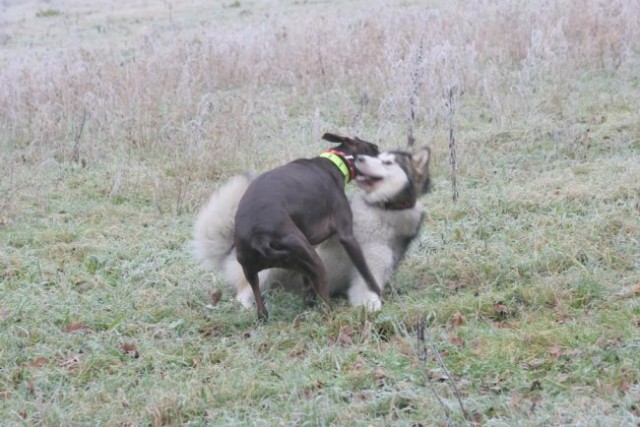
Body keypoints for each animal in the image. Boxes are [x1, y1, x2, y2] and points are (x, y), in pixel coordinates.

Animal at [192, 147, 432, 310]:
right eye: (377, 157)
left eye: (388, 162)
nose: (360, 158)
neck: (382, 208)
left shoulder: (368, 271)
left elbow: (369, 291)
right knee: (244, 294)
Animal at [236, 134, 382, 320]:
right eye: (375, 149)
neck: (335, 163)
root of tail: (259, 237)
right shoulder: (347, 237)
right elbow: (365, 271)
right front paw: (378, 292)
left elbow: (307, 283)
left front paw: (308, 298)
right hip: (314, 260)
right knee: (325, 303)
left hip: (253, 271)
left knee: (261, 307)